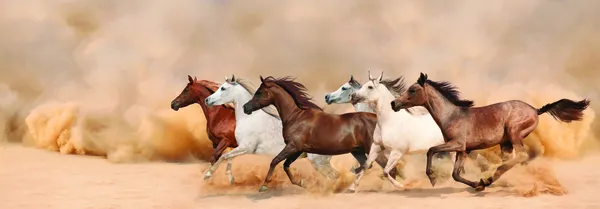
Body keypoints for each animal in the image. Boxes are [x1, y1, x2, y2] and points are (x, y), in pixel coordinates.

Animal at [204, 74, 340, 183]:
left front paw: (208, 174)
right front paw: (230, 178)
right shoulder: (240, 147)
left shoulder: (246, 147)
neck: (249, 119)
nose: (207, 100)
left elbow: (223, 157)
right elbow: (229, 158)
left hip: (318, 162)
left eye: (223, 88)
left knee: (333, 176)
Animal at [241, 76, 400, 192]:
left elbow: (274, 161)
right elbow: (286, 165)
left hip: (373, 149)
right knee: (366, 166)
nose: (245, 107)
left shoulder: (292, 147)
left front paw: (264, 186)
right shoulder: (297, 149)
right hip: (358, 151)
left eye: (259, 92)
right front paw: (302, 183)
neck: (296, 116)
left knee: (388, 168)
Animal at [390, 72, 592, 191]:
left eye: (413, 90)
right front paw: (478, 184)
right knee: (511, 160)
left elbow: (431, 150)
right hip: (506, 143)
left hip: (514, 133)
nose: (394, 103)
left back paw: (493, 176)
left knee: (521, 156)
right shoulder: (463, 150)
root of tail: (535, 110)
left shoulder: (456, 144)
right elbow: (456, 174)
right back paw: (490, 180)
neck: (452, 115)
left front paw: (432, 178)